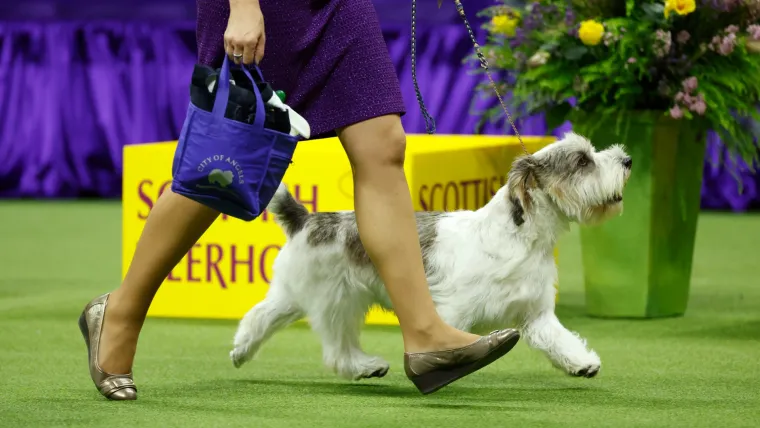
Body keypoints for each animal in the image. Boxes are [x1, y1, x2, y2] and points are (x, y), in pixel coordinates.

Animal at [229, 133, 632, 382]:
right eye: (582, 161)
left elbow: (559, 339)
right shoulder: (450, 312)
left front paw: (582, 364)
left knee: (260, 316)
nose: (627, 159)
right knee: (335, 348)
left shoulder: (536, 314)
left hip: (297, 295)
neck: (519, 238)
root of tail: (308, 218)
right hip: (336, 302)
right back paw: (362, 365)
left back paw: (242, 351)